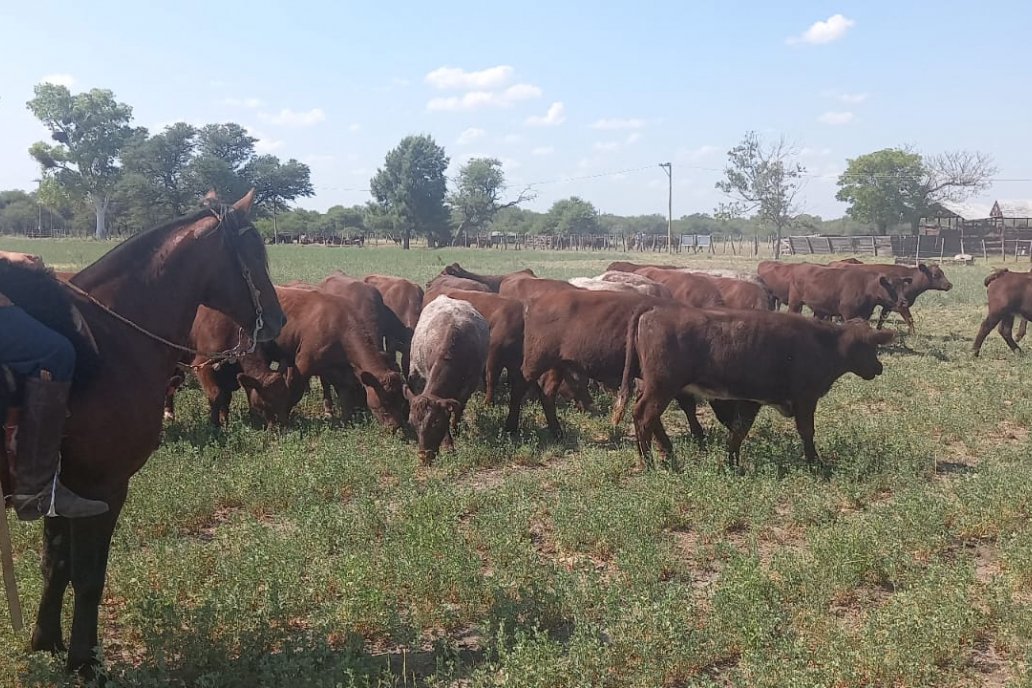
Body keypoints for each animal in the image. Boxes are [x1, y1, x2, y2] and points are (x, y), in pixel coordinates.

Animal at [11, 189, 286, 676]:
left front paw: (47, 642)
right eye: (254, 251)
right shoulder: (103, 485)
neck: (109, 341)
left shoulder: (63, 484)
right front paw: (85, 661)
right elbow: (88, 576)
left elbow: (55, 562)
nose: (277, 318)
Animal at [406, 297, 491, 466]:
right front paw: (448, 443)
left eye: (436, 422)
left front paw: (455, 430)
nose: (424, 457)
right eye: (412, 424)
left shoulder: (469, 386)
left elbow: (458, 409)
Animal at [610, 307, 895, 468]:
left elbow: (739, 431)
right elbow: (806, 431)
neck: (825, 343)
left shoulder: (752, 400)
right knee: (644, 416)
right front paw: (815, 462)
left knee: (651, 418)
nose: (879, 367)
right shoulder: (805, 398)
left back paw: (667, 455)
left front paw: (732, 463)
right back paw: (649, 464)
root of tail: (651, 313)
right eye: (871, 346)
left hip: (653, 386)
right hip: (662, 387)